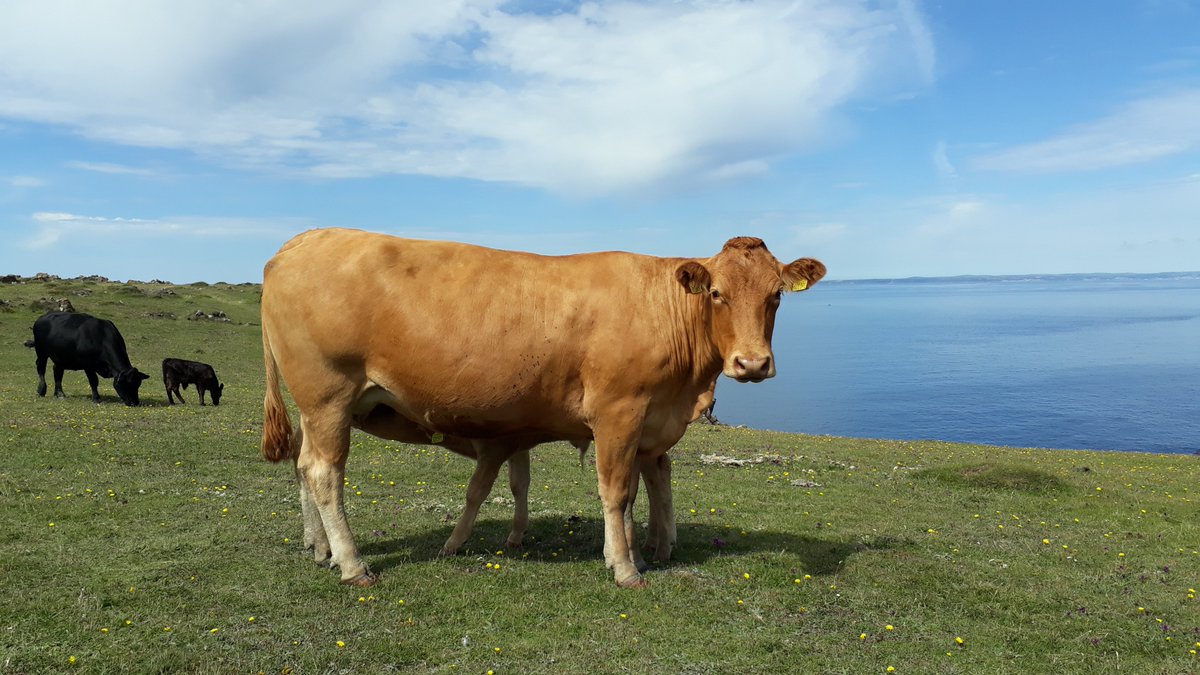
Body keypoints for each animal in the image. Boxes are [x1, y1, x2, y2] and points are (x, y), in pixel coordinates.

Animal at [260, 228, 825, 587]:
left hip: (316, 406)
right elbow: (617, 491)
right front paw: (625, 568)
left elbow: (645, 486)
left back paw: (319, 549)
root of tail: (302, 240)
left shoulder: (649, 421)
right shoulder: (618, 411)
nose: (752, 363)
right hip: (328, 394)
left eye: (776, 295)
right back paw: (352, 564)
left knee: (303, 466)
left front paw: (638, 552)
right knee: (324, 472)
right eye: (716, 293)